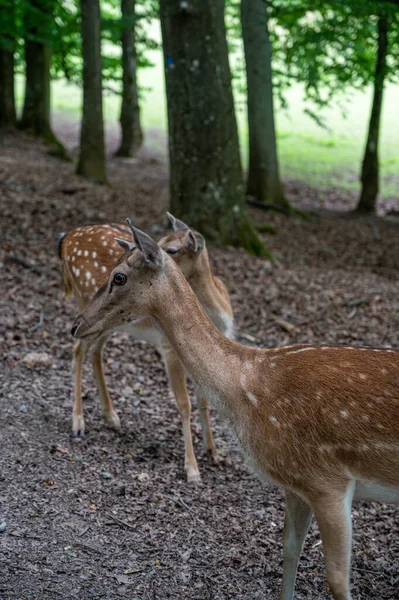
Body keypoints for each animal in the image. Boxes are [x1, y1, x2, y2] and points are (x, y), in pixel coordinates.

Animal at [59, 214, 234, 482]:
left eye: (173, 249)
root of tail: (67, 238)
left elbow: (203, 401)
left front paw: (212, 453)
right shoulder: (169, 348)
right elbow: (184, 404)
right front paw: (192, 469)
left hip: (107, 324)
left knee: (95, 351)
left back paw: (111, 416)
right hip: (84, 298)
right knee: (78, 349)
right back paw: (78, 423)